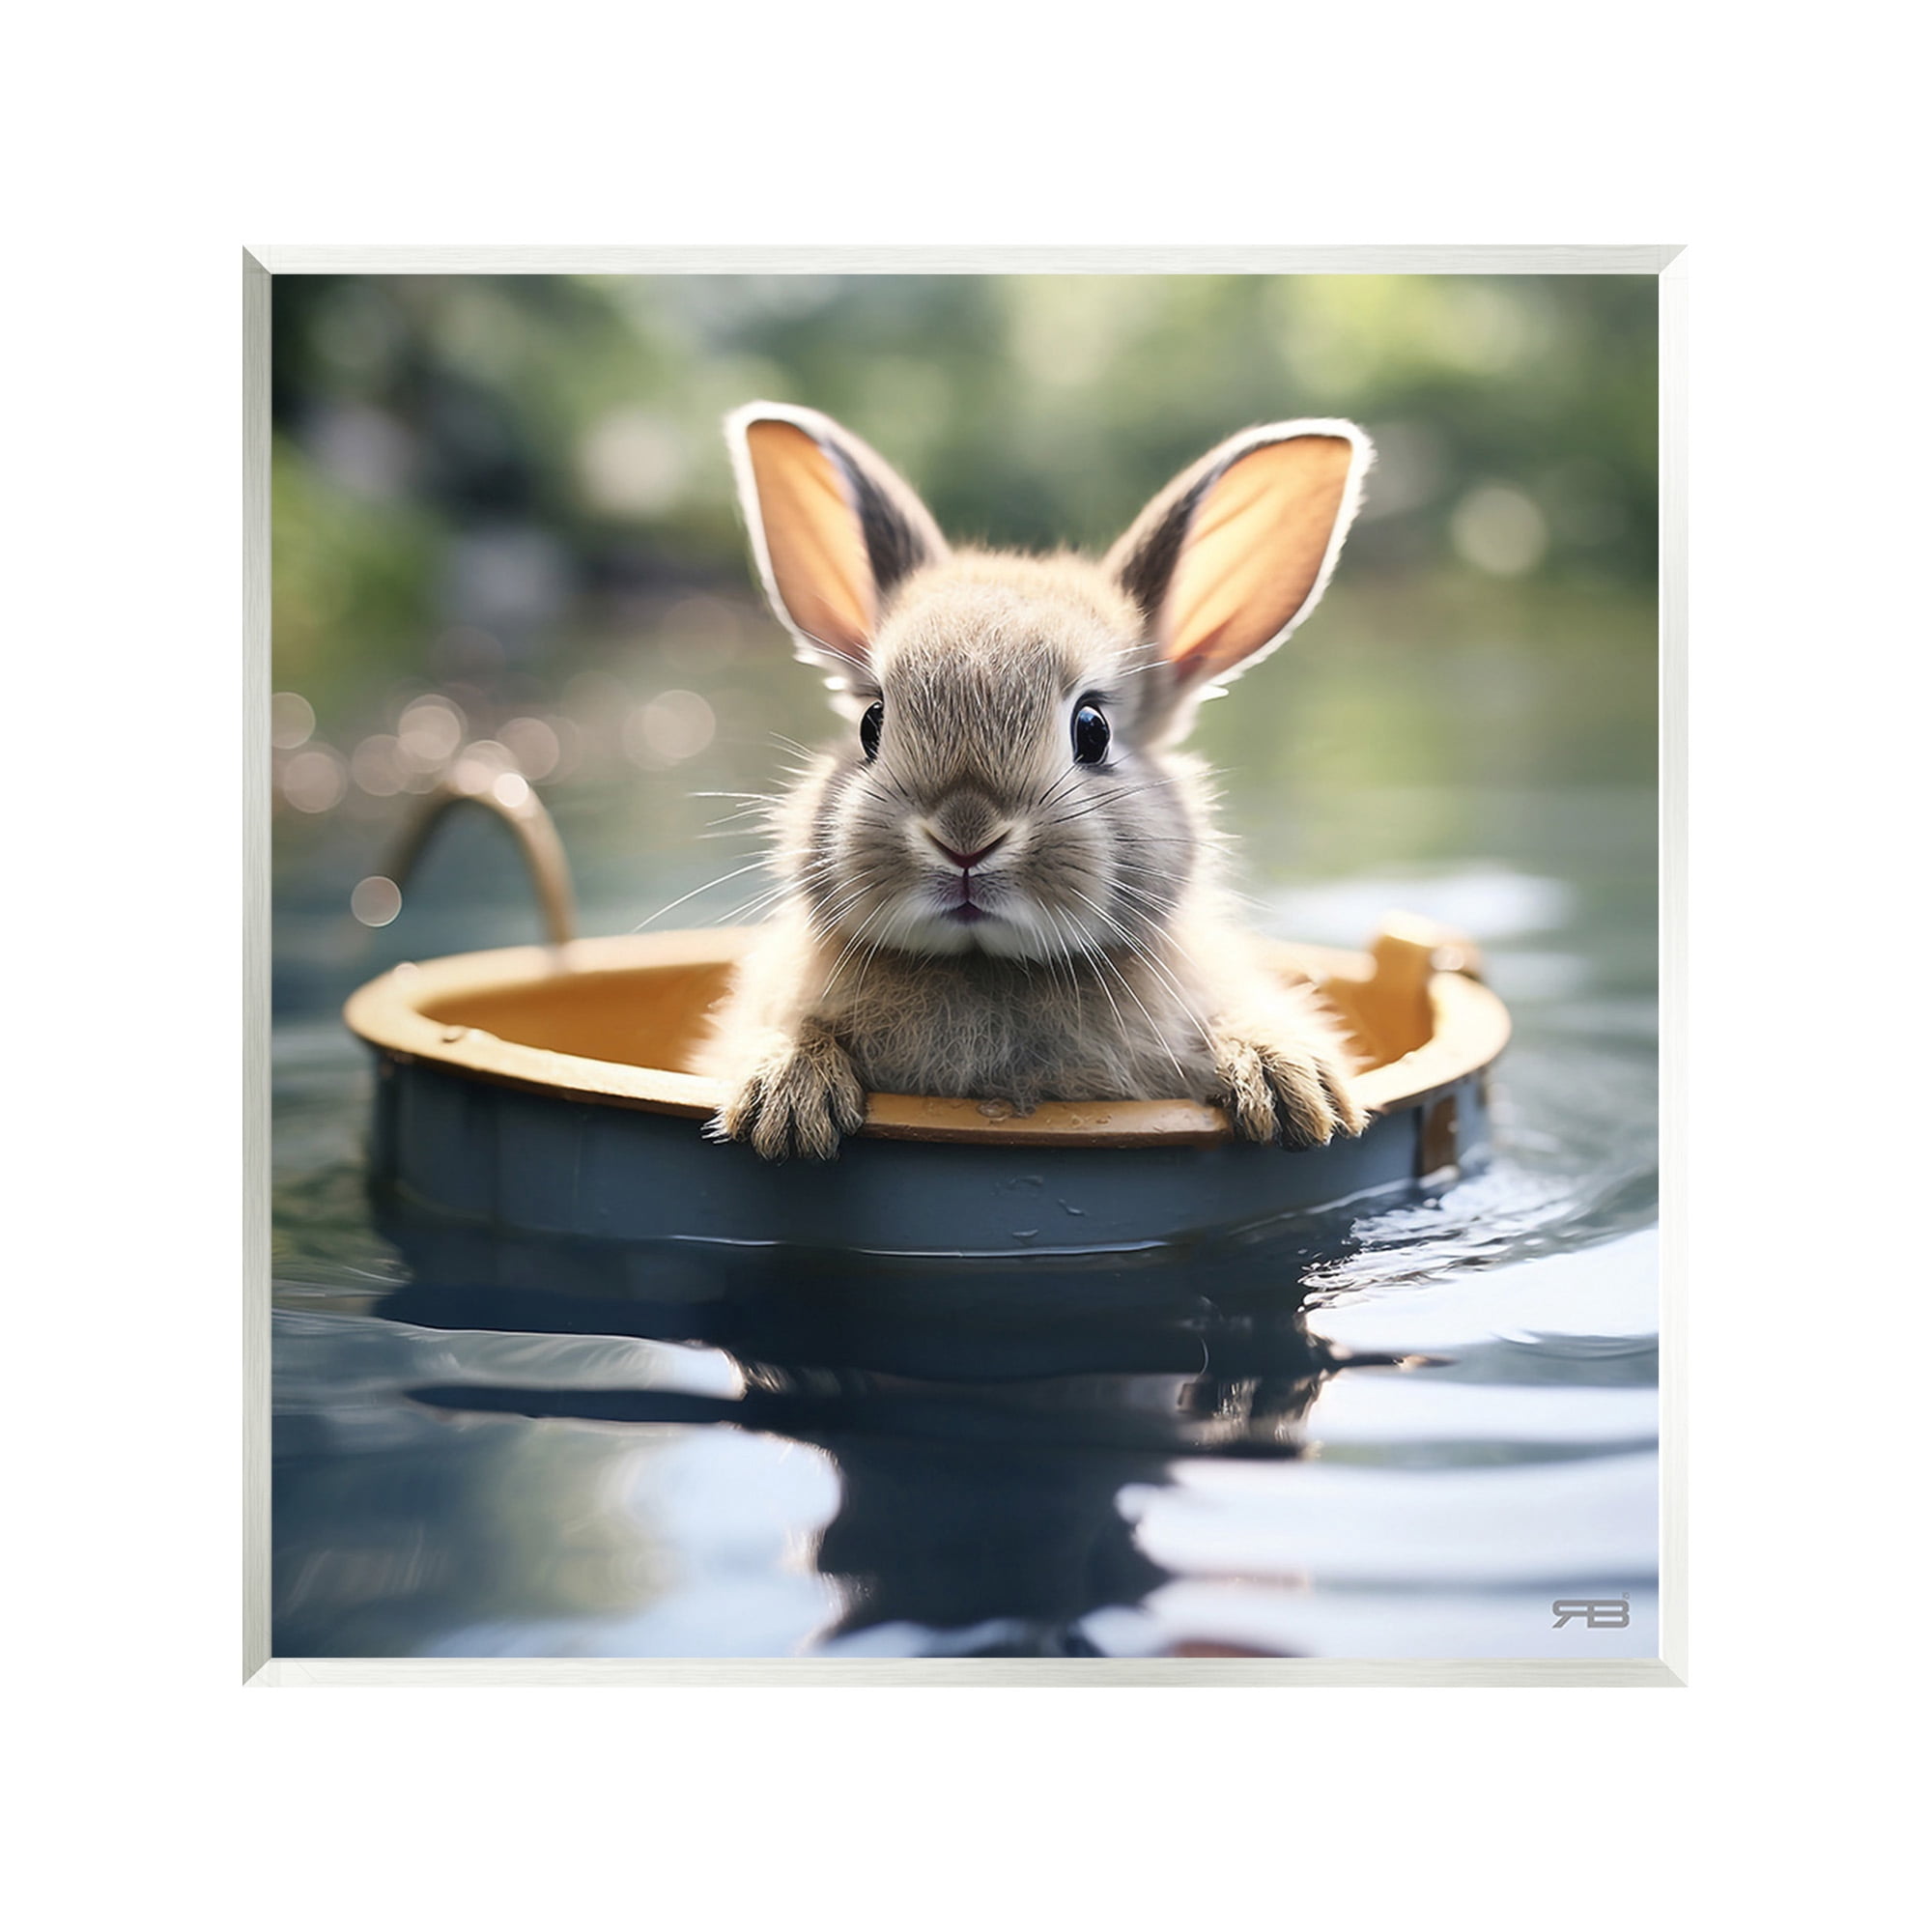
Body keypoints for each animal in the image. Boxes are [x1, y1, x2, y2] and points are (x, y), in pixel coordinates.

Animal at [694, 401, 1376, 1161]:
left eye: (1093, 729)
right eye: (872, 722)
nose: (965, 836)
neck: (984, 966)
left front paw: (1294, 1089)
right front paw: (785, 1101)